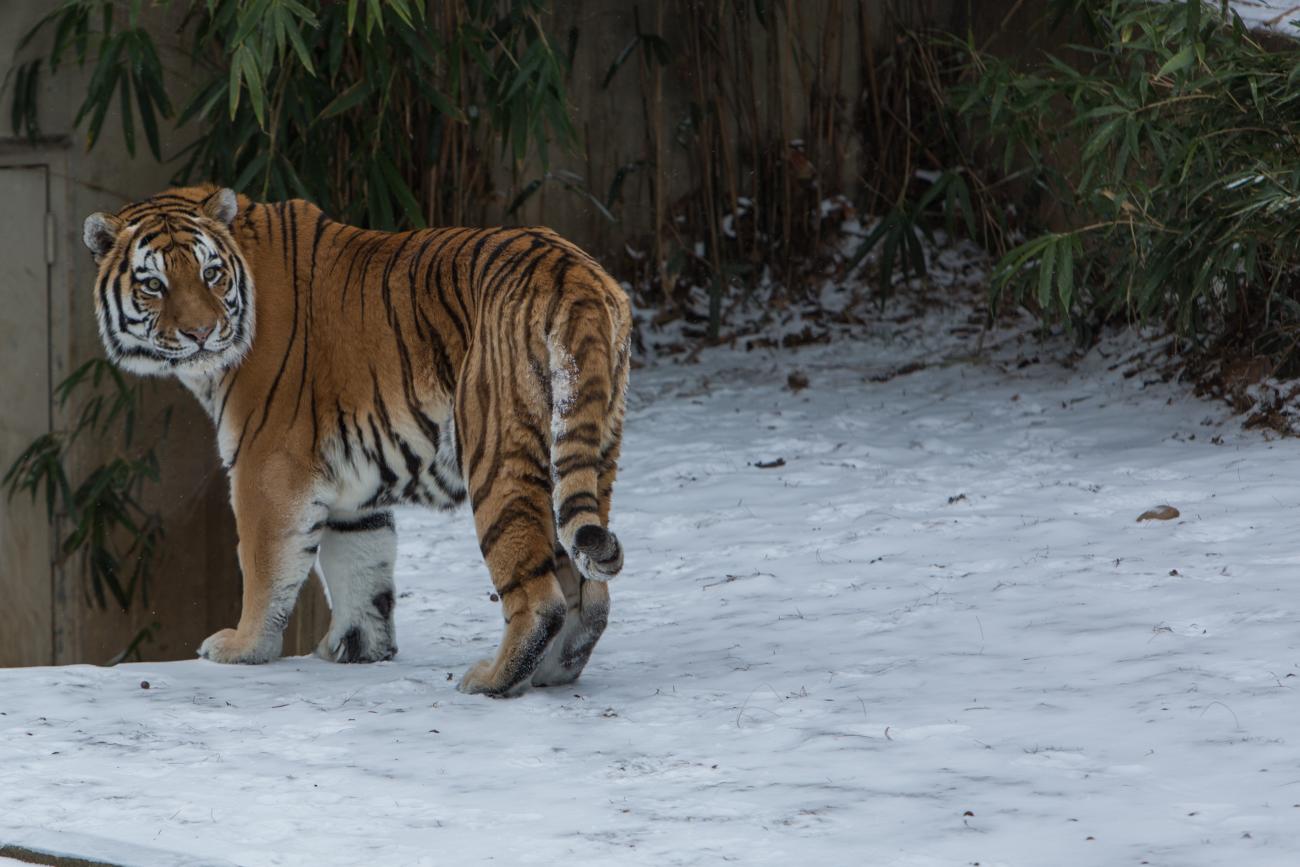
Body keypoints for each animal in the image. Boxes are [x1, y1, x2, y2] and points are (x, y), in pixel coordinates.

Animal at [79, 184, 629, 696]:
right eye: (154, 284)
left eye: (210, 274)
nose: (200, 333)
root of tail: (573, 271)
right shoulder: (352, 486)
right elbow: (361, 567)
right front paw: (358, 647)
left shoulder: (267, 466)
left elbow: (263, 566)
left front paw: (243, 646)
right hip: (590, 446)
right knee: (591, 590)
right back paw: (554, 672)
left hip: (495, 455)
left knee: (539, 596)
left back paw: (493, 679)